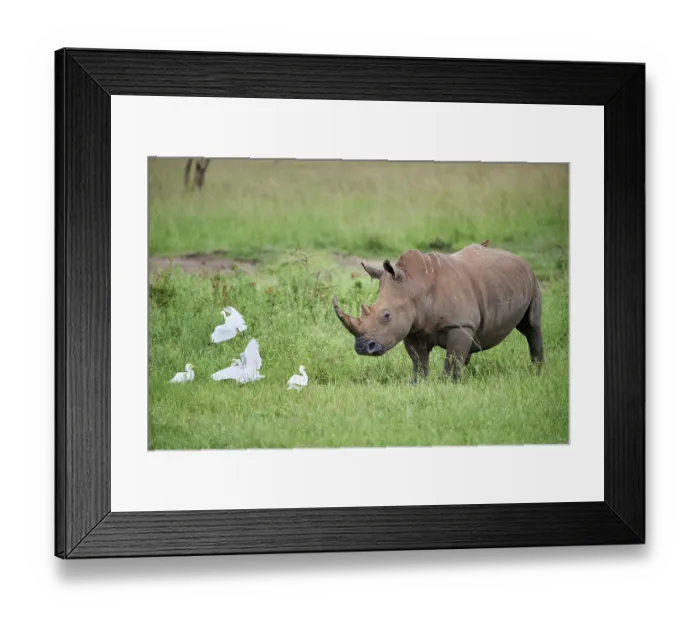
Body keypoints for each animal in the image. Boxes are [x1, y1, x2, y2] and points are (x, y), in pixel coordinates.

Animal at [332, 240, 543, 382]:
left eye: (386, 316)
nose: (362, 348)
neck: (414, 285)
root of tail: (518, 257)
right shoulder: (411, 327)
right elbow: (418, 360)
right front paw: (417, 383)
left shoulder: (460, 324)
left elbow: (452, 356)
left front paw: (447, 383)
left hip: (533, 279)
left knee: (531, 326)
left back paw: (537, 371)